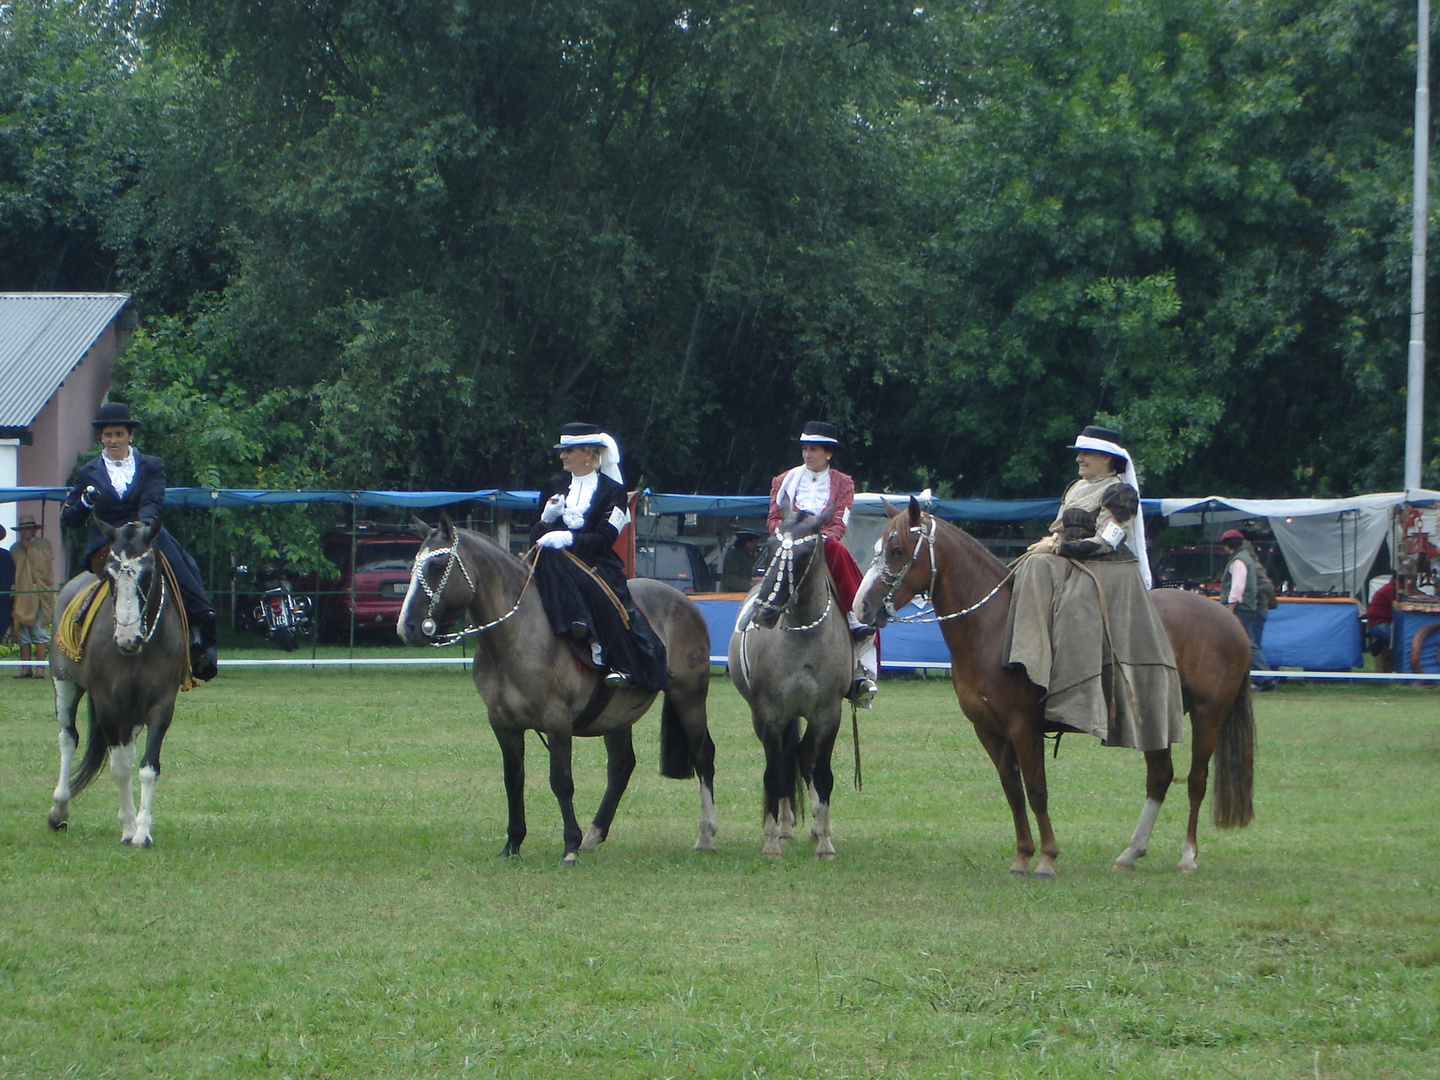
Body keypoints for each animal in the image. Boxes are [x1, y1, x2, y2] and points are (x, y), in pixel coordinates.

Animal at [46, 521, 188, 852]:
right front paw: (127, 828)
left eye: (147, 573)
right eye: (110, 575)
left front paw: (142, 831)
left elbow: (147, 768)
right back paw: (59, 811)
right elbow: (120, 768)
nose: (127, 638)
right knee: (68, 738)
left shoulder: (161, 705)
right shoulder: (108, 705)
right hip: (65, 682)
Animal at [397, 518, 717, 869]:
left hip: (689, 697)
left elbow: (561, 781)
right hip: (617, 715)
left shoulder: (557, 720)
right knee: (621, 766)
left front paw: (569, 847)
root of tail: (685, 602)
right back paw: (594, 834)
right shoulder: (503, 724)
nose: (406, 627)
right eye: (414, 565)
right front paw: (513, 844)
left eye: (437, 565)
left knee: (703, 755)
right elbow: (513, 780)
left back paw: (705, 836)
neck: (516, 634)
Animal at [725, 504, 846, 858]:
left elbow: (822, 774)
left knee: (803, 757)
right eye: (769, 546)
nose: (764, 611)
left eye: (804, 553)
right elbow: (774, 773)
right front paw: (770, 840)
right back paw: (783, 828)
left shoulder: (828, 714)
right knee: (785, 759)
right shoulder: (769, 715)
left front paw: (826, 841)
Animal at [852, 498, 1249, 881]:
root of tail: (1228, 618)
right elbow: (1013, 791)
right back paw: (1130, 854)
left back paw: (1187, 857)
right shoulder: (989, 730)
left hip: (1208, 716)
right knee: (1160, 777)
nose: (861, 607)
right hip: (1155, 718)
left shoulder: (1024, 727)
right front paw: (1022, 857)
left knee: (1196, 780)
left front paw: (1046, 859)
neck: (993, 627)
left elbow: (1037, 790)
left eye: (898, 549)